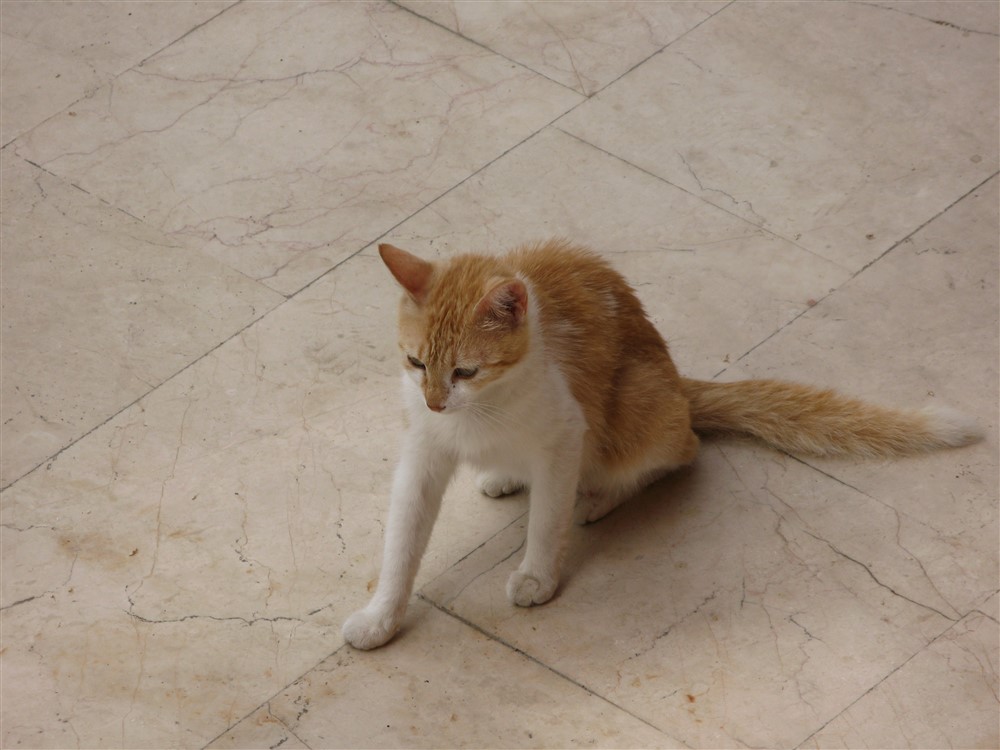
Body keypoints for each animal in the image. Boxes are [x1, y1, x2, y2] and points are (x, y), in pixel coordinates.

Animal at [342, 239, 980, 650]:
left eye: (466, 371)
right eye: (416, 362)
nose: (434, 402)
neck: (479, 414)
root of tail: (677, 382)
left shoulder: (564, 434)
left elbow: (546, 521)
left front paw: (538, 576)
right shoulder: (422, 454)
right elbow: (402, 542)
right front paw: (381, 618)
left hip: (637, 405)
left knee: (676, 453)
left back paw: (598, 497)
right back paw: (507, 475)